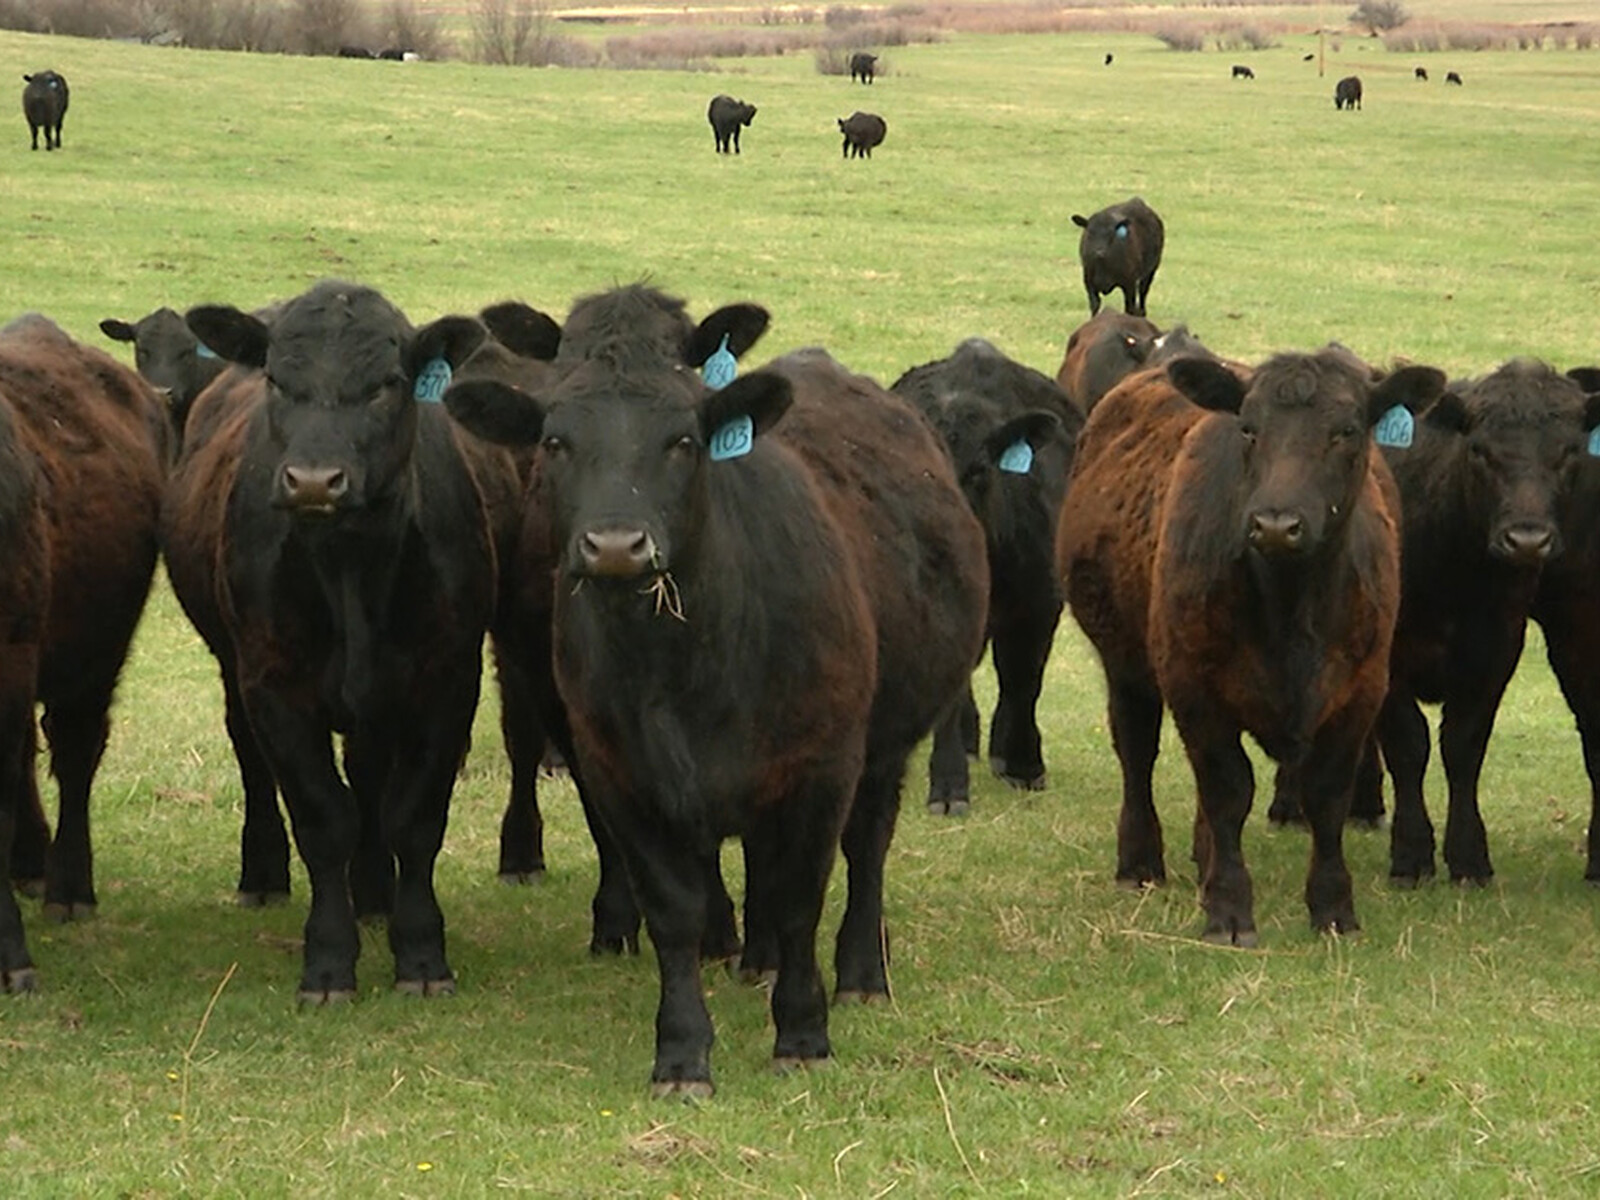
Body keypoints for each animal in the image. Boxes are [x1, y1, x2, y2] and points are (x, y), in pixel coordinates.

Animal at [160, 280, 539, 1001]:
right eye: (277, 379)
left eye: (388, 383)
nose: (314, 480)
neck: (348, 567)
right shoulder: (274, 686)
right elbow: (322, 818)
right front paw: (329, 961)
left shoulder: (446, 683)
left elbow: (412, 819)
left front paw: (421, 955)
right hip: (233, 667)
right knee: (255, 762)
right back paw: (266, 875)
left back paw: (375, 894)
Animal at [442, 284, 988, 1096]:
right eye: (555, 440)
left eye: (684, 439)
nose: (615, 545)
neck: (680, 665)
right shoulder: (620, 774)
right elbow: (675, 909)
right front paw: (681, 1050)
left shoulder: (823, 767)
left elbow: (801, 898)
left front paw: (802, 1032)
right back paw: (754, 957)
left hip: (881, 745)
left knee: (867, 847)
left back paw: (861, 971)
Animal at [1057, 350, 1445, 943]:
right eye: (1248, 428)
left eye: (1347, 430)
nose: (1276, 524)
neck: (1291, 609)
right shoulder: (1193, 684)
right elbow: (1227, 789)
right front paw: (1229, 909)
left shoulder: (1361, 690)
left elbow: (1326, 795)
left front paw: (1333, 907)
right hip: (1124, 662)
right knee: (1137, 752)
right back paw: (1140, 861)